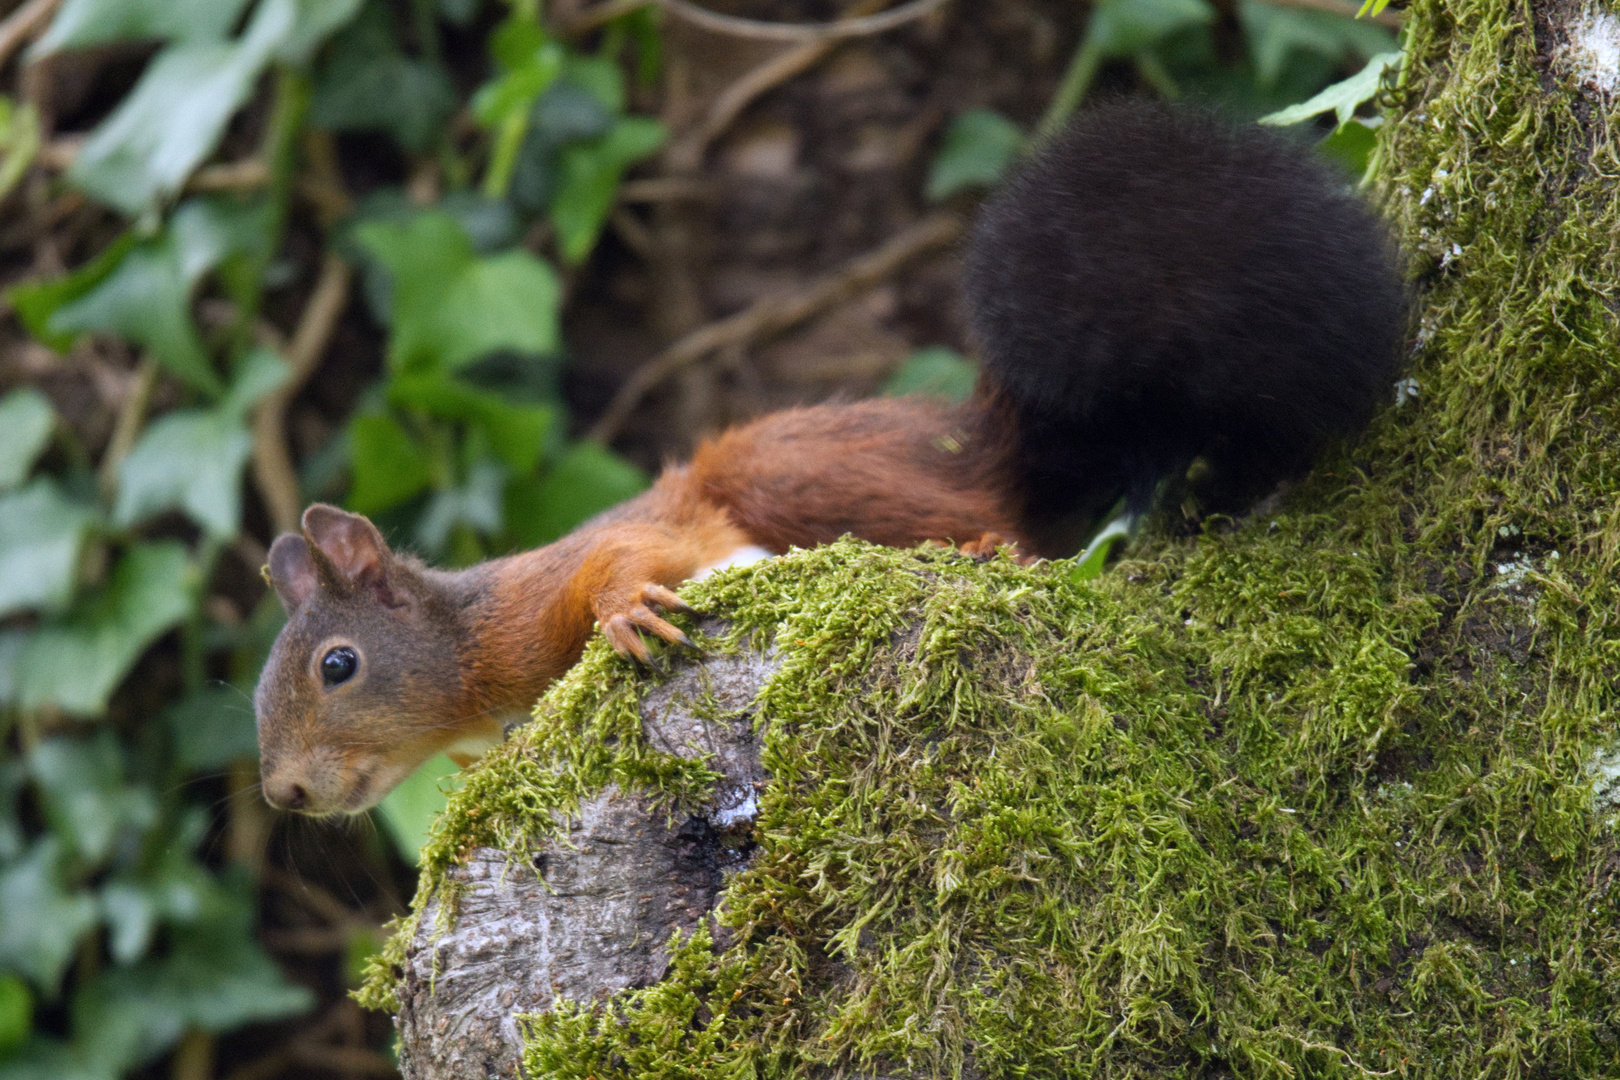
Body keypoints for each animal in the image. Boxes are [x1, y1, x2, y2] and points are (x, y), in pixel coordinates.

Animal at [249, 103, 1406, 809]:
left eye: (338, 666)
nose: (285, 796)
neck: (469, 660)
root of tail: (985, 437)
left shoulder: (553, 590)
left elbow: (620, 561)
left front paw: (626, 614)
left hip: (794, 475)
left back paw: (985, 550)